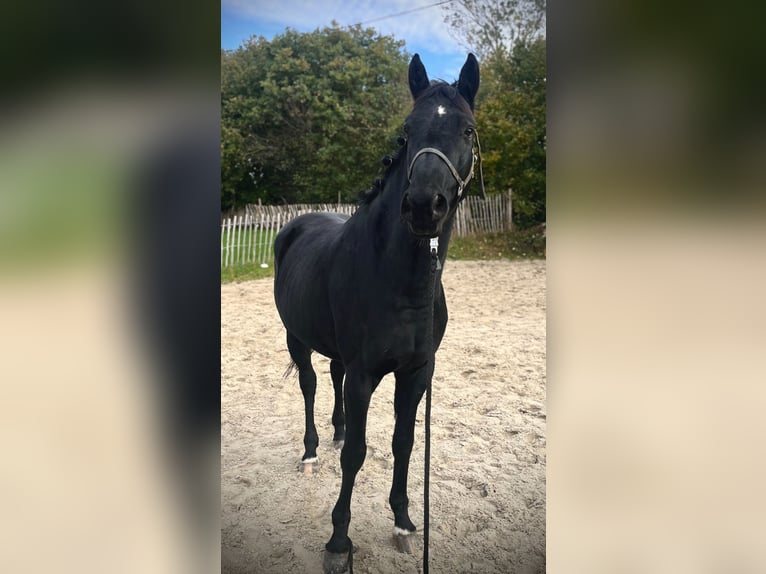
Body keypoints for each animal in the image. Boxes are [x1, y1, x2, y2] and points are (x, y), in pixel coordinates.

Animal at [273, 52, 481, 573]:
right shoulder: (366, 374)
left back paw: (336, 430)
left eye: (468, 130)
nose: (424, 206)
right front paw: (338, 541)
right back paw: (311, 452)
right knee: (310, 385)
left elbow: (402, 442)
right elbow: (358, 455)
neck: (401, 282)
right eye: (406, 131)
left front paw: (404, 522)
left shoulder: (417, 373)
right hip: (296, 339)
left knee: (332, 378)